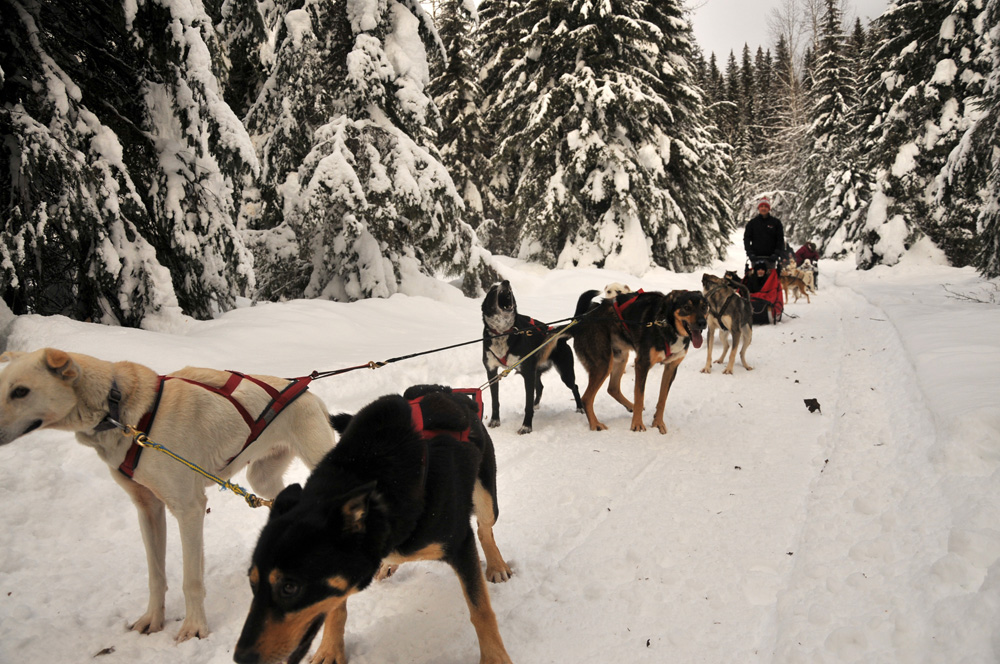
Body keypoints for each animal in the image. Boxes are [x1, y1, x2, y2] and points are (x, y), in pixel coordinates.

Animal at [0, 348, 336, 641]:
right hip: (263, 479)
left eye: (20, 391)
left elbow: (191, 580)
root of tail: (310, 393)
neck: (120, 410)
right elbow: (156, 575)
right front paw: (153, 620)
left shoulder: (189, 509)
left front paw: (194, 628)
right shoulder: (148, 508)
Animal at [234, 385, 513, 664]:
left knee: (484, 528)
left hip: (486, 500)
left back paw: (497, 565)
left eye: (289, 587)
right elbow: (336, 609)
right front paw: (330, 650)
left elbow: (480, 611)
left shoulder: (460, 544)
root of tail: (446, 391)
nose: (240, 657)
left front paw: (495, 657)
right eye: (252, 583)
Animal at [482, 281, 583, 434]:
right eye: (493, 288)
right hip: (536, 371)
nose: (506, 282)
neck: (503, 333)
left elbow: (527, 404)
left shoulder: (527, 373)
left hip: (565, 373)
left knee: (574, 386)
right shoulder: (492, 372)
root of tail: (559, 337)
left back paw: (580, 408)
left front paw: (526, 426)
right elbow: (495, 401)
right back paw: (536, 404)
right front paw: (495, 420)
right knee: (540, 387)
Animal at [564, 289, 707, 433]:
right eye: (687, 307)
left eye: (704, 307)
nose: (703, 323)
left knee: (612, 388)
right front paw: (637, 424)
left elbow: (662, 399)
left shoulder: (671, 368)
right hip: (604, 364)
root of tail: (579, 322)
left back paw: (629, 406)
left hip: (620, 358)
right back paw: (595, 424)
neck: (666, 324)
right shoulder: (642, 364)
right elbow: (639, 397)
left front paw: (658, 423)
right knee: (586, 398)